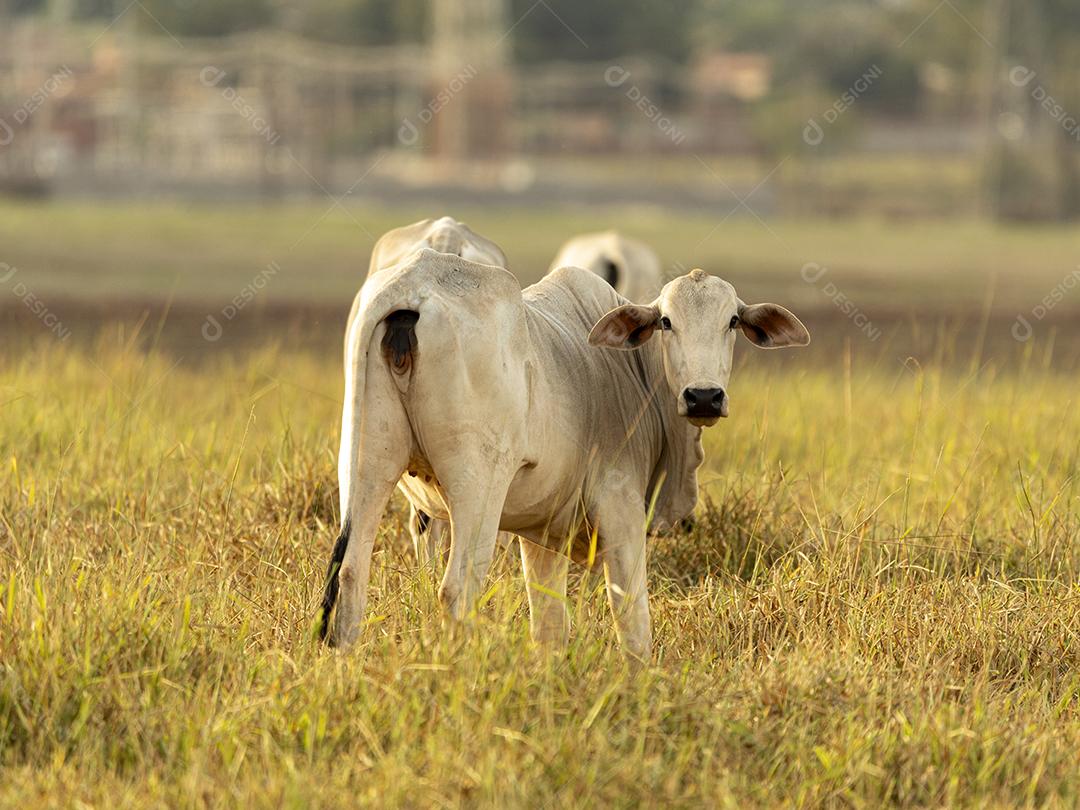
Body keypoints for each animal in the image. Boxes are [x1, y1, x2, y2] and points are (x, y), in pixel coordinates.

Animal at [318, 251, 809, 660]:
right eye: (667, 322)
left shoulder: (542, 534)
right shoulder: (619, 503)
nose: (703, 396)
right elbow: (633, 622)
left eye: (732, 321)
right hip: (478, 487)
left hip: (365, 466)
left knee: (351, 574)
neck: (632, 368)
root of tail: (412, 286)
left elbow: (550, 627)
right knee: (457, 590)